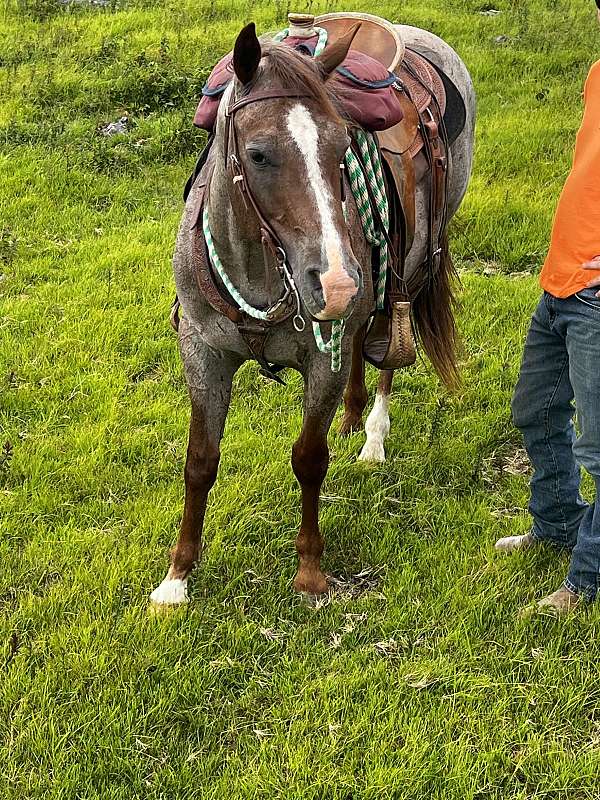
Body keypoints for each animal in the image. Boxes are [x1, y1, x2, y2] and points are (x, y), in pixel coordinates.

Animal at [152, 20, 476, 608]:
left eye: (342, 146)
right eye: (258, 154)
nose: (337, 282)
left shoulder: (321, 360)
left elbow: (308, 458)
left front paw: (309, 573)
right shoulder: (203, 353)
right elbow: (200, 462)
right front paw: (177, 577)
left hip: (411, 266)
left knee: (385, 349)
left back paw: (372, 435)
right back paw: (350, 417)